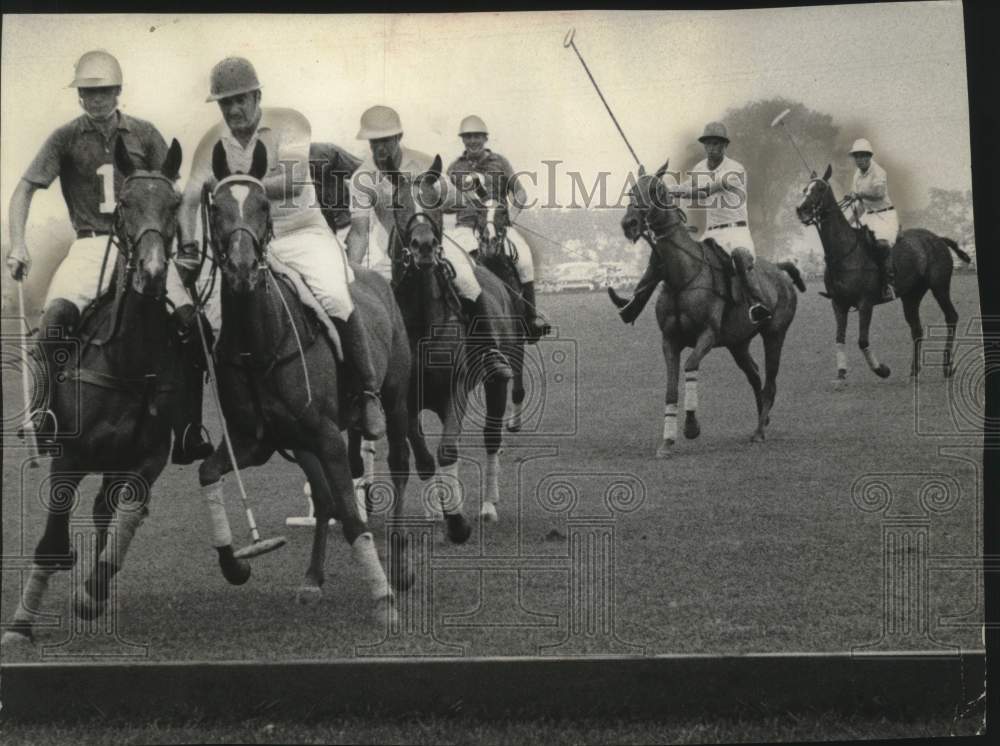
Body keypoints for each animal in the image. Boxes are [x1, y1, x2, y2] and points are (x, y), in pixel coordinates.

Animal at [3, 137, 188, 644]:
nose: (151, 272)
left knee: (107, 510)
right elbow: (51, 539)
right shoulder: (68, 458)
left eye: (175, 203)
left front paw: (93, 592)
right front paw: (21, 624)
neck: (127, 362)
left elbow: (129, 514)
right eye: (123, 203)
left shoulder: (148, 458)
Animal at [195, 141, 410, 620]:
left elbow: (352, 515)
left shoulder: (327, 436)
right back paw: (312, 579)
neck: (258, 346)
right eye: (215, 208)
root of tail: (373, 276)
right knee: (325, 498)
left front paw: (384, 598)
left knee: (401, 464)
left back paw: (401, 565)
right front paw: (235, 564)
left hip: (393, 398)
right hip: (301, 440)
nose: (241, 270)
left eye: (261, 205)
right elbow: (207, 473)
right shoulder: (253, 442)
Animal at [388, 155, 516, 524]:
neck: (421, 322)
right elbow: (425, 458)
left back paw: (488, 504)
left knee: (491, 438)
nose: (424, 247)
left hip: (498, 380)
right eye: (397, 203)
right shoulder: (404, 401)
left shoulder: (454, 390)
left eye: (435, 202)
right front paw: (435, 508)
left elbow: (447, 451)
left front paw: (455, 511)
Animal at [608, 162, 804, 454]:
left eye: (655, 190)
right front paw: (667, 442)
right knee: (755, 375)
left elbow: (690, 367)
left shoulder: (707, 335)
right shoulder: (669, 340)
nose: (629, 224)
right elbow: (670, 388)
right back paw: (764, 420)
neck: (682, 276)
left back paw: (759, 431)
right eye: (632, 190)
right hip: (738, 343)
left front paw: (691, 427)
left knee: (770, 382)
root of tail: (780, 269)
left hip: (775, 333)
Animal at [796, 166, 968, 380]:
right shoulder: (838, 304)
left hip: (940, 286)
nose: (801, 210)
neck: (844, 252)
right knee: (916, 328)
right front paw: (841, 372)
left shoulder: (865, 303)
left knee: (951, 317)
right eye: (805, 189)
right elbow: (839, 338)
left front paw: (882, 370)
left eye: (820, 188)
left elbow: (862, 340)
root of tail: (939, 238)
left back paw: (947, 366)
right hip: (911, 295)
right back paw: (914, 370)